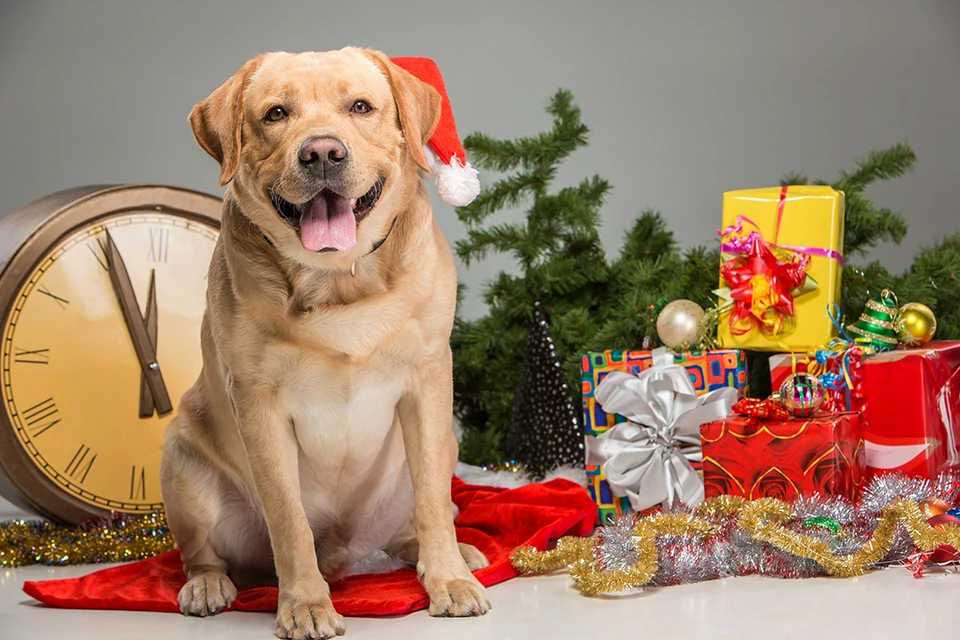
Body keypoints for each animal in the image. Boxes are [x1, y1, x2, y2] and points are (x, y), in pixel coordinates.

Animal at [159, 47, 488, 636]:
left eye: (360, 107)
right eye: (275, 114)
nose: (322, 153)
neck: (339, 281)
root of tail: (343, 550)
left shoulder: (429, 376)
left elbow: (431, 498)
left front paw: (449, 579)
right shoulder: (257, 402)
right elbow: (287, 520)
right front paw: (305, 605)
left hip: (443, 448)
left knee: (420, 517)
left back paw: (453, 554)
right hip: (181, 460)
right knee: (202, 553)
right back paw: (207, 583)